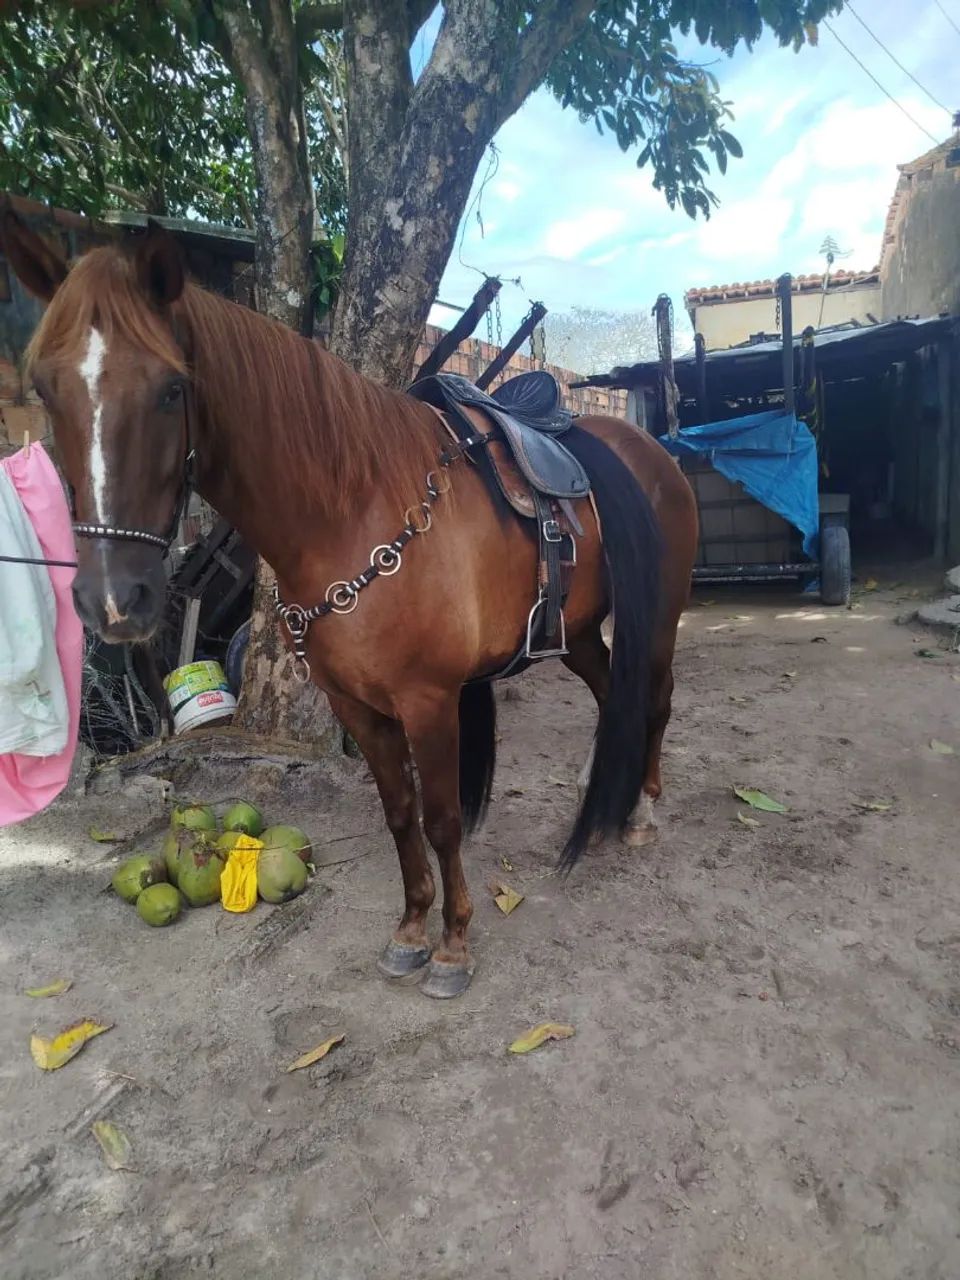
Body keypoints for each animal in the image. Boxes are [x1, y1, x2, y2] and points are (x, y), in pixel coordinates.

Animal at [1, 213, 699, 999]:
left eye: (172, 389)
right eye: (45, 387)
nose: (114, 600)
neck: (355, 513)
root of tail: (650, 450)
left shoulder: (430, 701)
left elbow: (443, 818)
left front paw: (453, 947)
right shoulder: (355, 706)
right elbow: (400, 814)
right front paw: (411, 931)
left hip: (659, 620)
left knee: (655, 698)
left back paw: (641, 809)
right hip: (575, 631)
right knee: (613, 691)